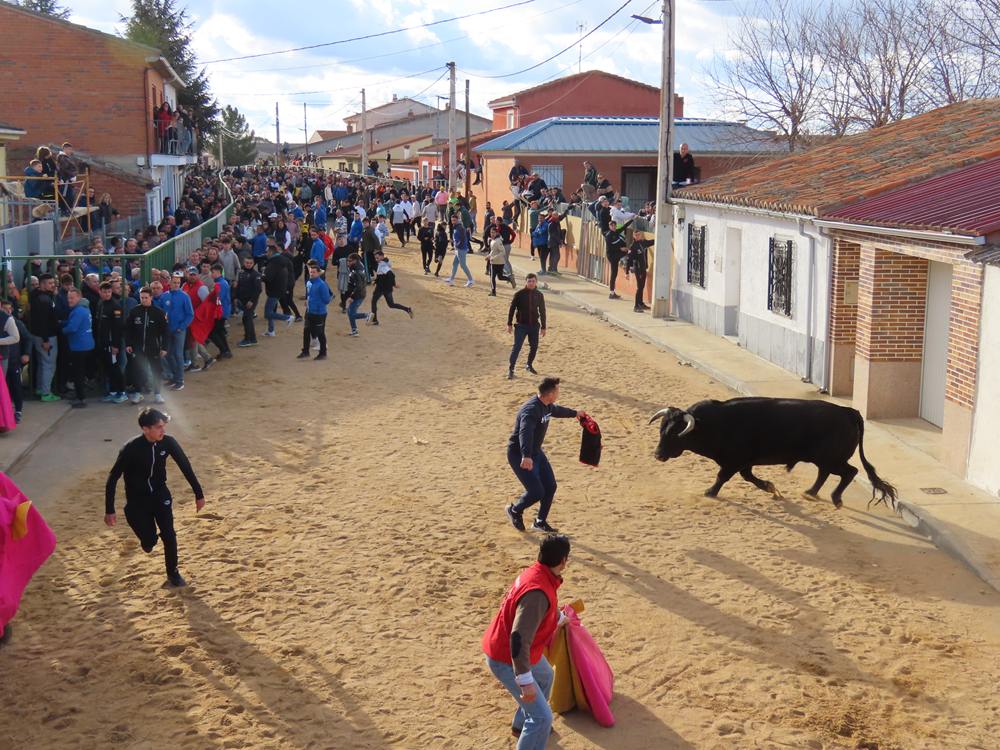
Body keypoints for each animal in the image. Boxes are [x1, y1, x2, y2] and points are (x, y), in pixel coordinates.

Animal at [648, 400, 900, 512]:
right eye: (661, 429)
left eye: (676, 434)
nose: (658, 455)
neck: (713, 423)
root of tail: (849, 412)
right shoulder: (744, 463)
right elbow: (748, 477)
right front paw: (770, 488)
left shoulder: (733, 461)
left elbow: (722, 477)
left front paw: (710, 492)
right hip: (824, 459)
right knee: (826, 473)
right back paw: (811, 493)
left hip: (832, 458)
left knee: (850, 471)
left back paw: (835, 498)